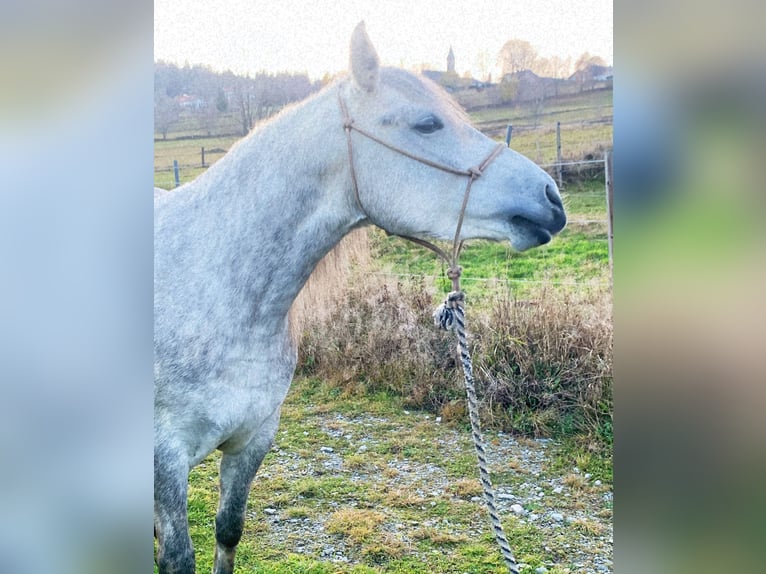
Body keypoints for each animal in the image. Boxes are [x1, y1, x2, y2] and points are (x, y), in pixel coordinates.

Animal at [153, 20, 568, 572]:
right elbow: (178, 556)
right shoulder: (165, 461)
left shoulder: (253, 439)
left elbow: (229, 529)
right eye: (427, 124)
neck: (214, 289)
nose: (552, 198)